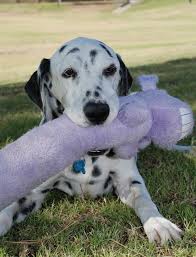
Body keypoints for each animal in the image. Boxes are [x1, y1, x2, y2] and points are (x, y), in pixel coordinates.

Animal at [0, 37, 182, 243]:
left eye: (110, 69)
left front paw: (159, 223)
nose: (97, 111)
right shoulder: (31, 194)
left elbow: (144, 199)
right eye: (68, 72)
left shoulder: (128, 181)